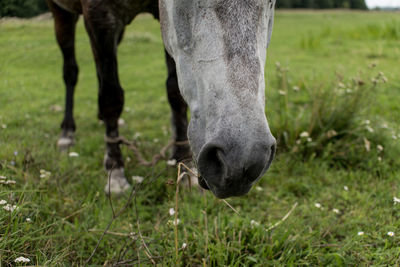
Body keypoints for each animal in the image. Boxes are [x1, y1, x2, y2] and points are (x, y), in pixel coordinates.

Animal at [47, 0, 276, 199]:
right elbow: (111, 97)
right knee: (71, 71)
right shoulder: (99, 16)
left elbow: (174, 92)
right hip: (61, 14)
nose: (242, 159)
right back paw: (67, 133)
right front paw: (116, 173)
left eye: (271, 2)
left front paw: (182, 163)